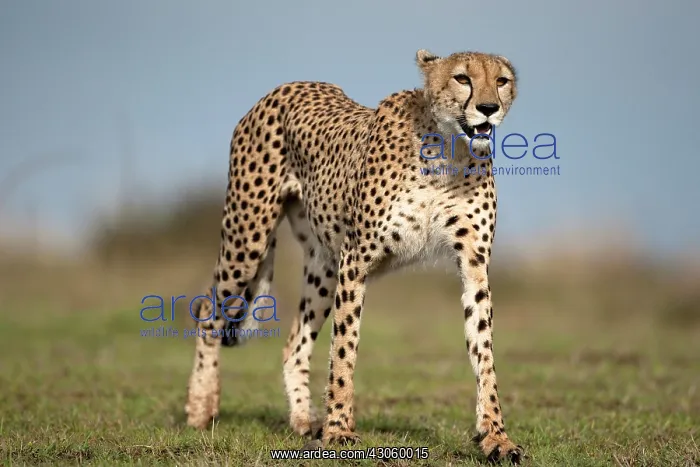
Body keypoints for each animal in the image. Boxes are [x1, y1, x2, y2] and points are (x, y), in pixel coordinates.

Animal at [184, 49, 523, 463]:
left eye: (502, 81)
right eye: (463, 78)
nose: (489, 108)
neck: (448, 152)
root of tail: (287, 86)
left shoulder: (473, 265)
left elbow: (484, 352)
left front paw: (496, 436)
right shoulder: (356, 258)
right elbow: (344, 350)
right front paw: (339, 430)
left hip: (322, 265)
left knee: (294, 344)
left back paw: (302, 420)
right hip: (247, 236)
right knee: (208, 310)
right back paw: (201, 407)